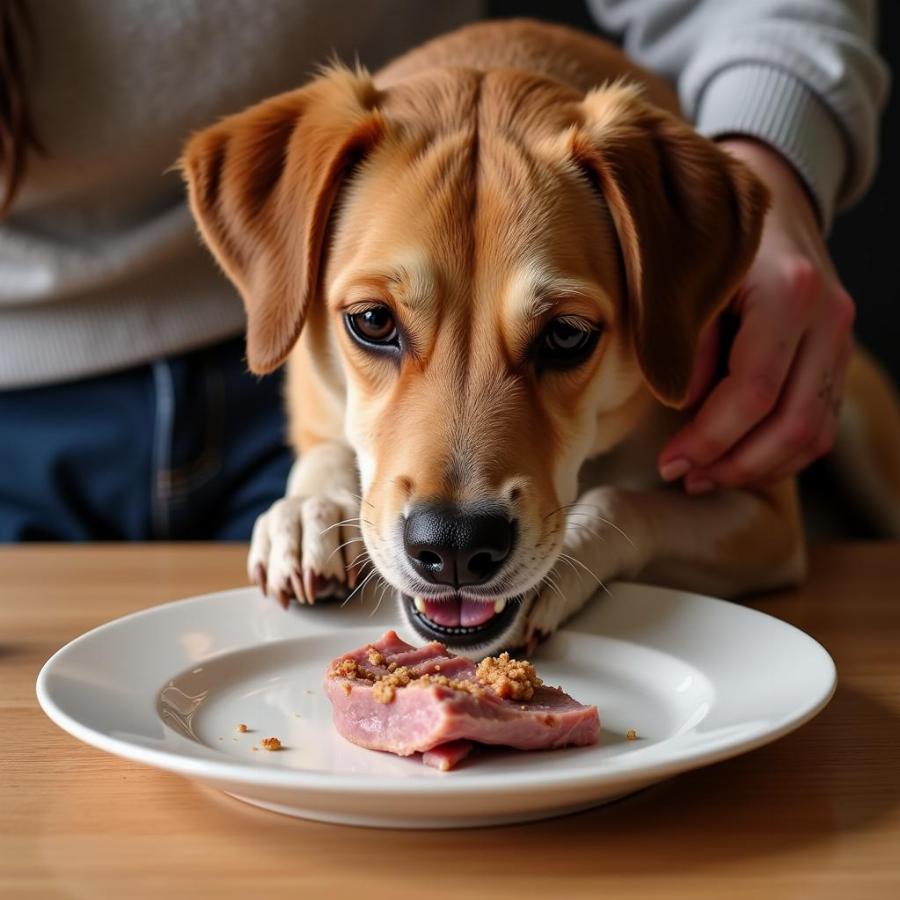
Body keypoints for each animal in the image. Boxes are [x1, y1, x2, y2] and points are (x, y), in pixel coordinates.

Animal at [181, 19, 900, 652]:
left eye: (566, 334)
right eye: (373, 321)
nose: (455, 548)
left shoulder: (766, 518)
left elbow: (623, 503)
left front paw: (563, 563)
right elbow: (326, 452)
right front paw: (308, 513)